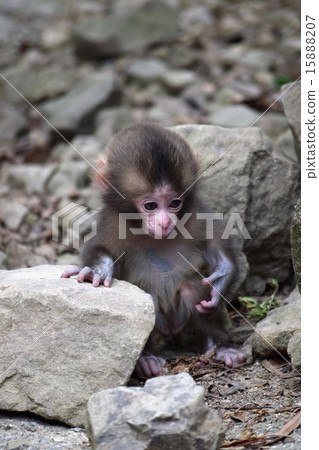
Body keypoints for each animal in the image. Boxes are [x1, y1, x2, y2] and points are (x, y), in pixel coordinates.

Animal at [62, 122, 248, 376]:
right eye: (150, 205)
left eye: (175, 203)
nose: (165, 222)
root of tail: (170, 330)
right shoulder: (110, 222)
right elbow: (99, 248)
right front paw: (95, 270)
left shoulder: (196, 211)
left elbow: (214, 241)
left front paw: (220, 282)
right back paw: (146, 358)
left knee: (192, 289)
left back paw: (221, 346)